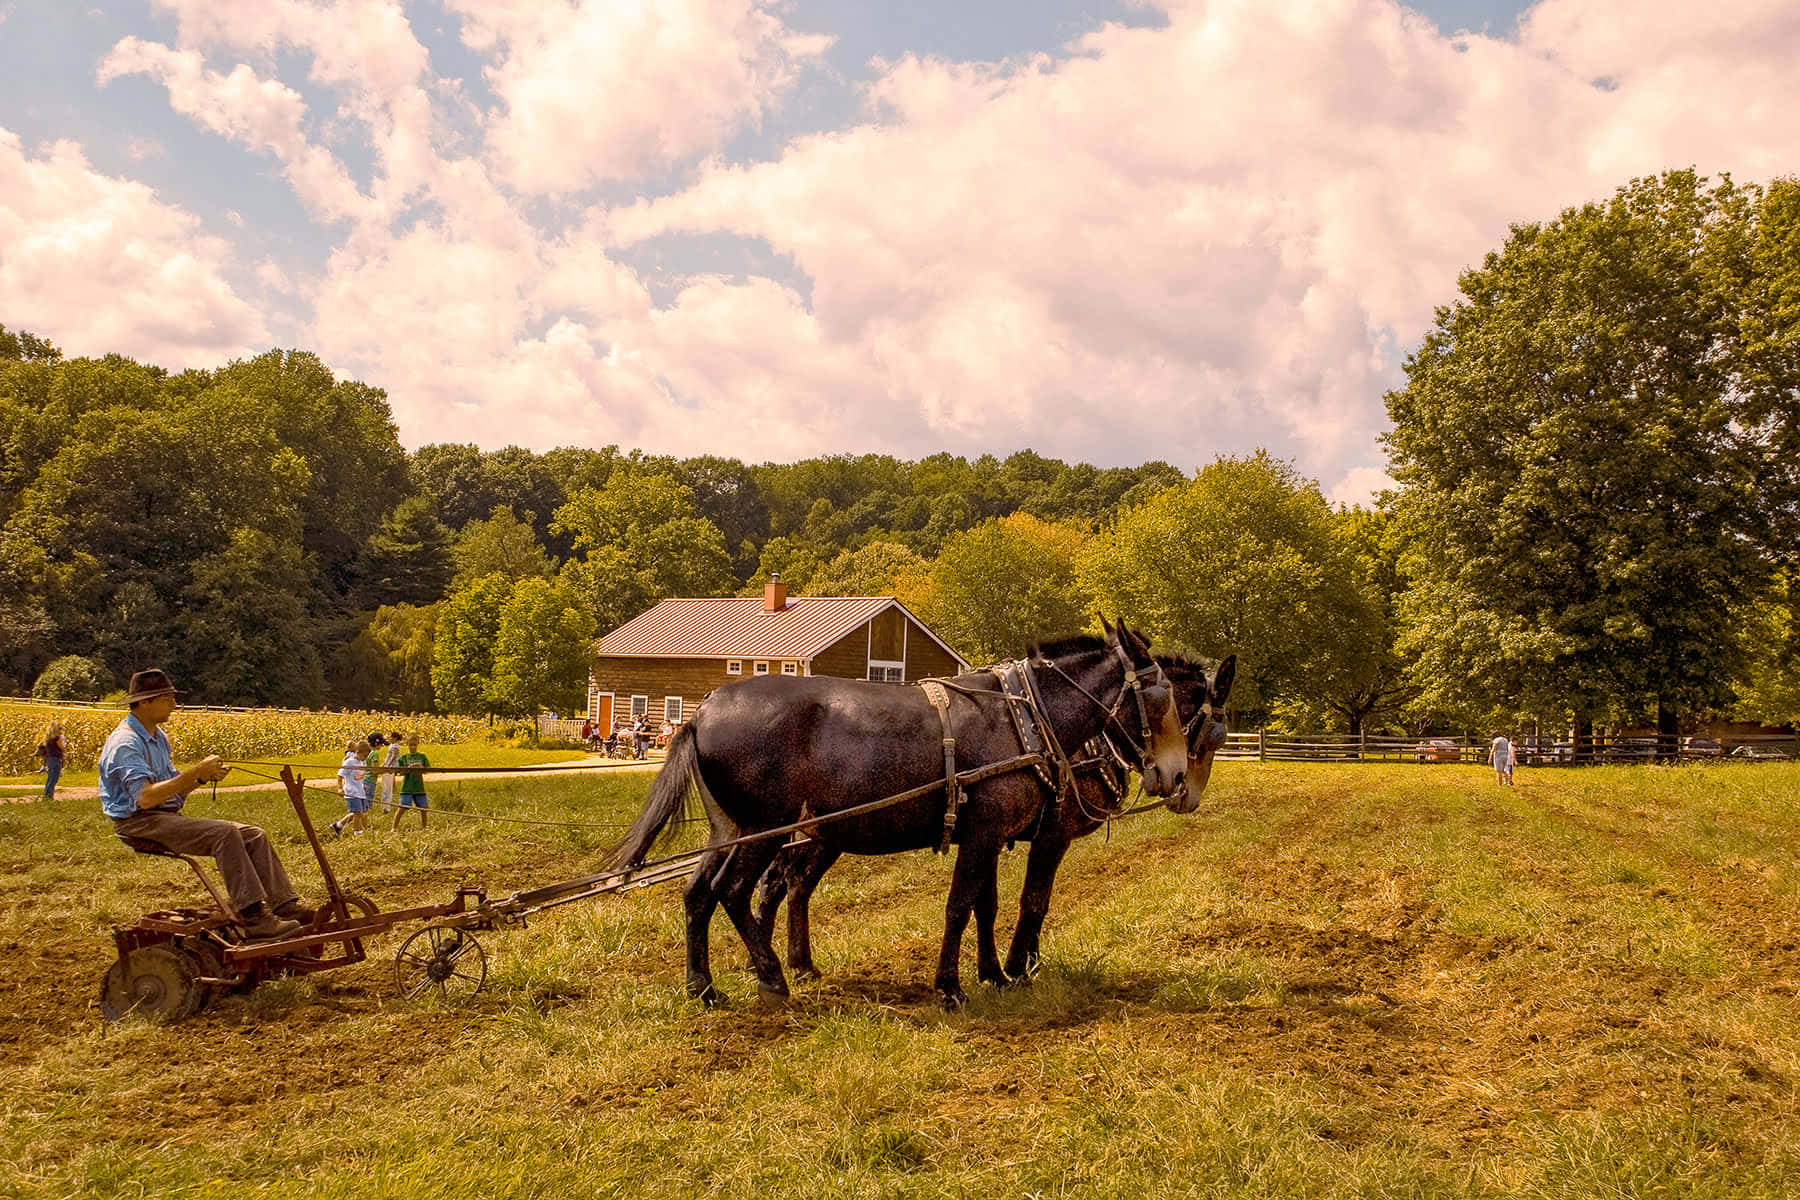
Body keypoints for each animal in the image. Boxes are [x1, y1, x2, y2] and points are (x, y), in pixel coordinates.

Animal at [612, 626, 1188, 1007]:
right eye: (1162, 697)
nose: (1178, 776)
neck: (1021, 717)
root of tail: (703, 710)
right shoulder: (988, 834)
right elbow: (962, 906)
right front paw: (952, 987)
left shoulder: (990, 834)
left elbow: (985, 906)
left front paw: (994, 975)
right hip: (763, 828)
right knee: (733, 891)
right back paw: (772, 976)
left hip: (729, 828)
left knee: (699, 894)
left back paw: (703, 987)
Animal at [759, 658, 1238, 985]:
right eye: (1214, 732)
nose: (1186, 792)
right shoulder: (1050, 835)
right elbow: (1033, 901)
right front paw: (1018, 966)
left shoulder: (994, 834)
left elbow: (987, 905)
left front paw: (1007, 967)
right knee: (784, 883)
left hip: (823, 833)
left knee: (790, 884)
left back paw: (791, 963)